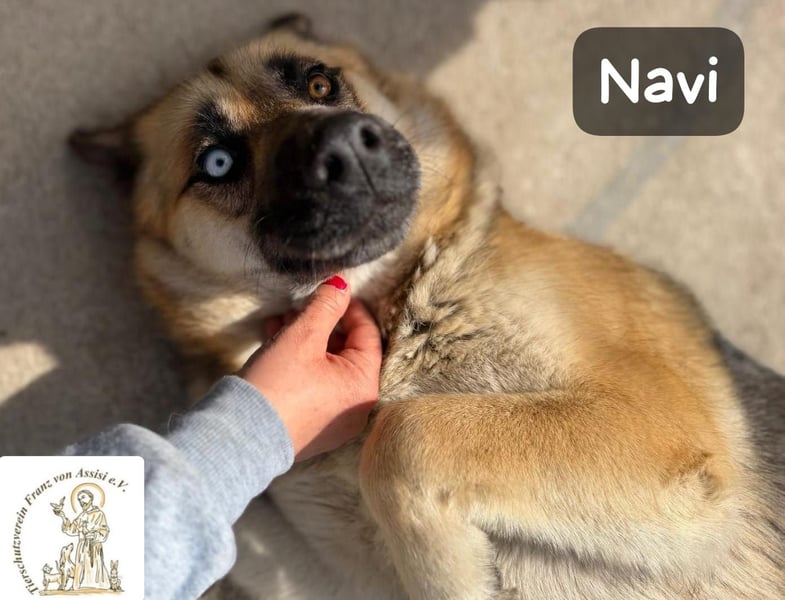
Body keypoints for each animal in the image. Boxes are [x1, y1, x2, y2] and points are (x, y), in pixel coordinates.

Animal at [70, 13, 785, 599]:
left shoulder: (662, 426)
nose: (346, 147)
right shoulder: (342, 577)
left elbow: (404, 435)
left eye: (320, 84)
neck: (402, 300)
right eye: (217, 162)